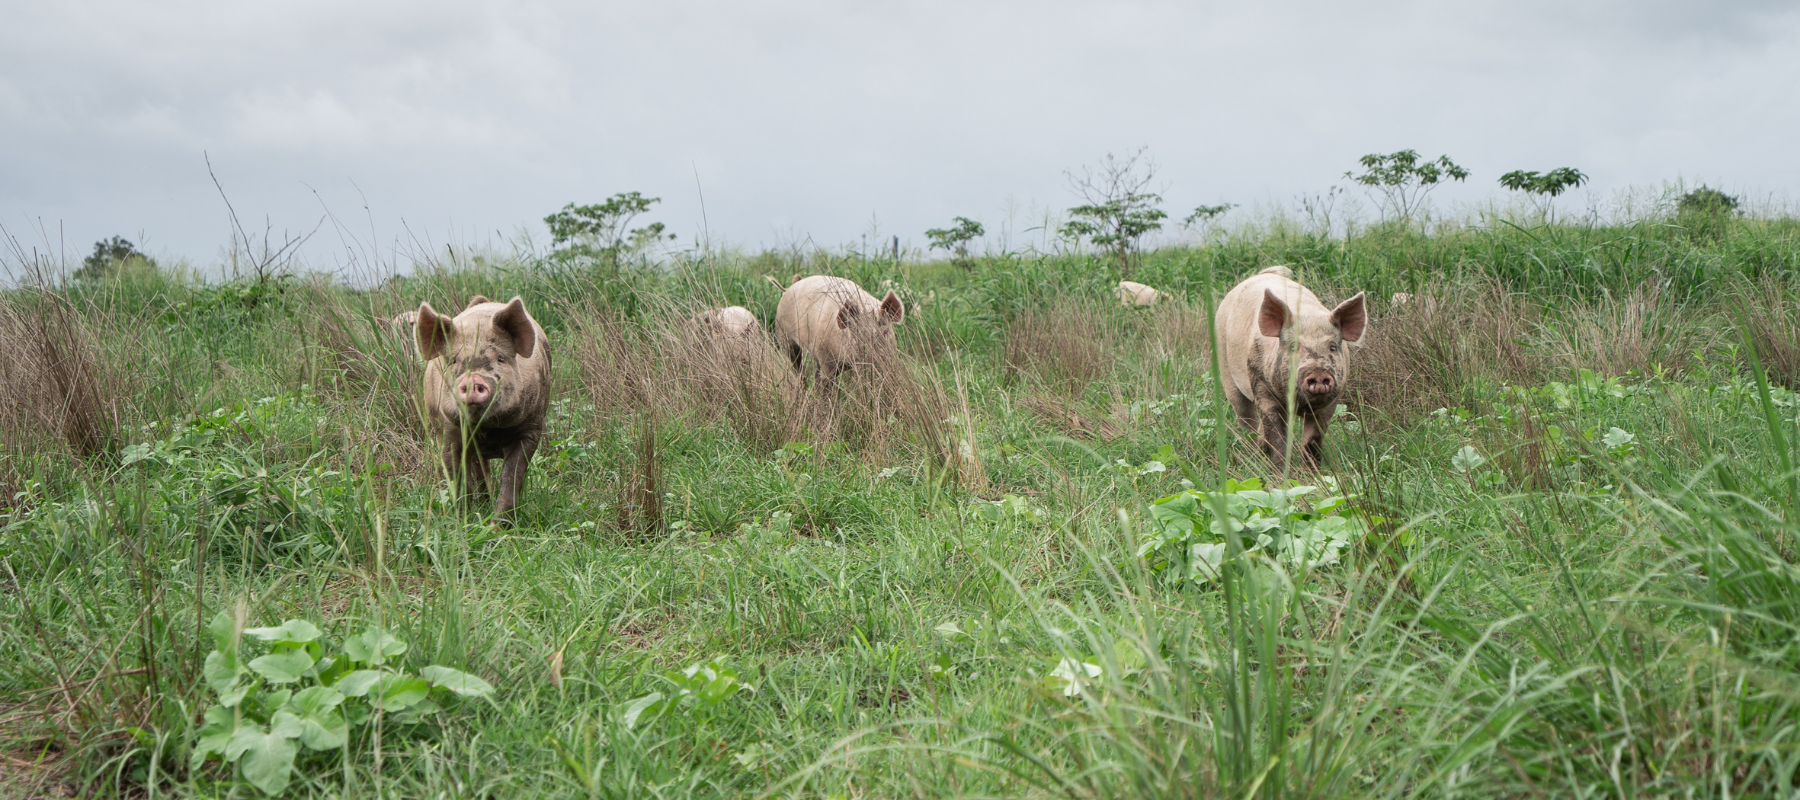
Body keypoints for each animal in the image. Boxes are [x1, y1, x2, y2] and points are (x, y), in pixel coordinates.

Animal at [414, 295, 552, 522]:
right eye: (453, 361)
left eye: (501, 359)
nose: (473, 379)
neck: (487, 428)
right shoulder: (447, 429)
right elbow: (455, 476)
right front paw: (463, 520)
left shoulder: (530, 427)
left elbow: (512, 476)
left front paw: (497, 526)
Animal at [774, 275, 904, 387]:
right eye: (856, 336)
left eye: (885, 332)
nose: (872, 360)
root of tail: (791, 286)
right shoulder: (826, 358)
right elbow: (826, 383)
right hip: (783, 335)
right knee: (797, 368)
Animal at [1214, 266, 1366, 470]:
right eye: (1293, 347)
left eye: (1332, 347)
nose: (1318, 373)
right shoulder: (1262, 387)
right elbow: (1277, 437)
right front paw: (1281, 472)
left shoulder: (1331, 402)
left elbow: (1313, 441)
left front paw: (1313, 473)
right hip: (1226, 371)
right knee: (1245, 418)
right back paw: (1252, 451)